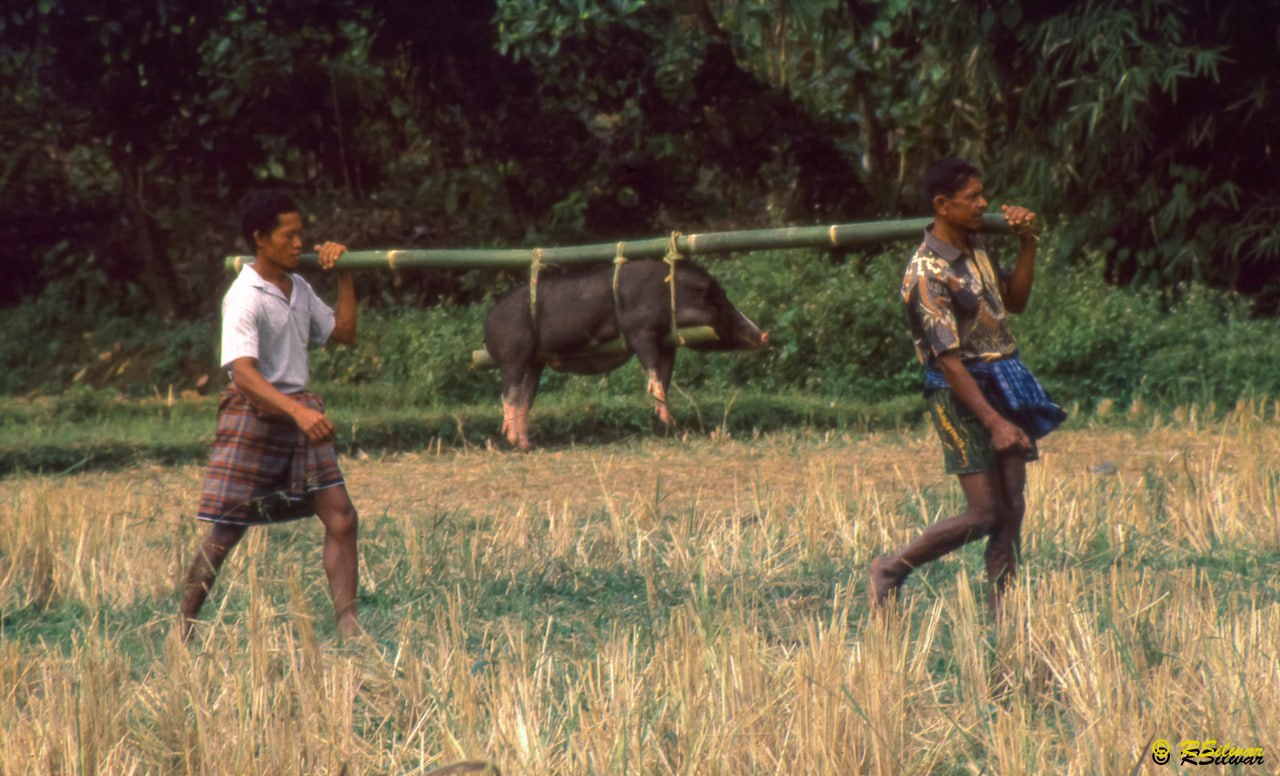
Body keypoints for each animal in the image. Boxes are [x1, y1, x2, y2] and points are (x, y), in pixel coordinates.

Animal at [481, 258, 762, 450]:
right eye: (721, 302)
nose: (763, 335)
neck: (670, 296)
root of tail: (488, 324)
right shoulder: (640, 330)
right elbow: (650, 364)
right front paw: (665, 412)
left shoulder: (667, 343)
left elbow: (665, 373)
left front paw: (667, 419)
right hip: (513, 355)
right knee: (509, 394)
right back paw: (511, 438)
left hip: (535, 361)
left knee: (524, 399)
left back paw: (525, 445)